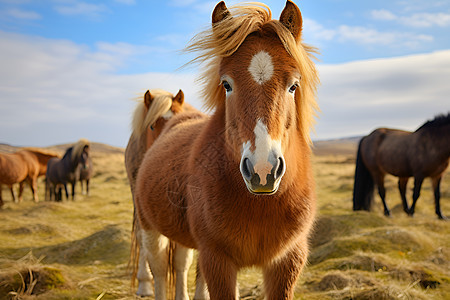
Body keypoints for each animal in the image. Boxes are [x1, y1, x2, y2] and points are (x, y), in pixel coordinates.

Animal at [134, 1, 320, 298]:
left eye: (293, 85)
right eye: (226, 84)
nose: (263, 171)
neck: (260, 206)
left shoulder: (288, 260)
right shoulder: (217, 259)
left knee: (182, 264)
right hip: (151, 230)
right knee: (161, 272)